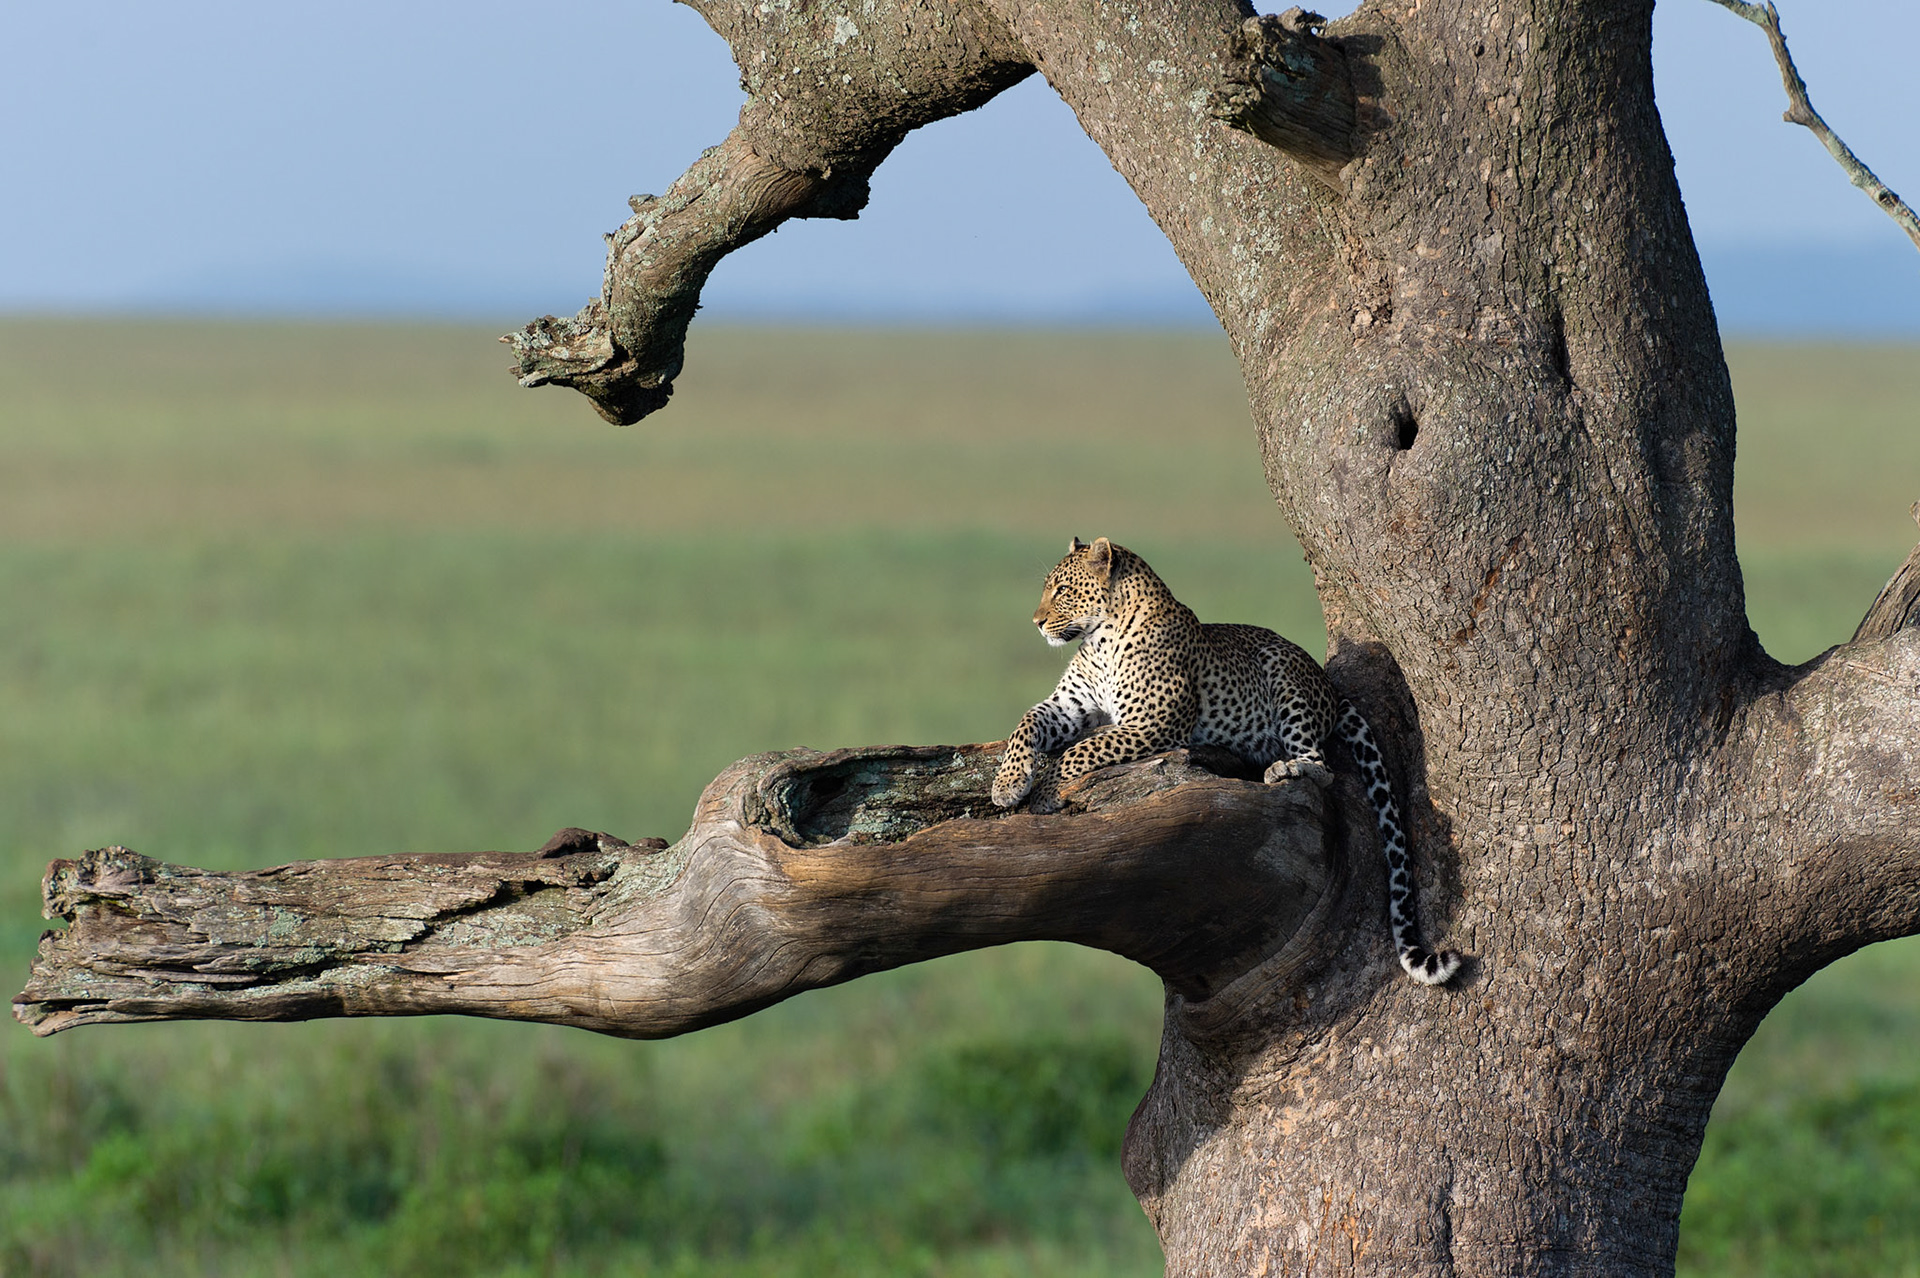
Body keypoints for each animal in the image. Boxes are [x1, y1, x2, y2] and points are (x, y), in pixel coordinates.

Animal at [991, 536, 1461, 986]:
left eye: (1062, 590)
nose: (1036, 622)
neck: (1100, 640)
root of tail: (1330, 687)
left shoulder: (1155, 723)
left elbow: (1082, 749)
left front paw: (1045, 791)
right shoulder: (1068, 707)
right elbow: (1025, 722)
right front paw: (1007, 782)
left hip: (1284, 675)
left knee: (1321, 766)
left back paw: (1286, 768)